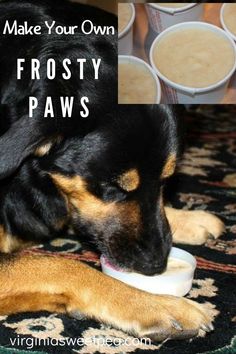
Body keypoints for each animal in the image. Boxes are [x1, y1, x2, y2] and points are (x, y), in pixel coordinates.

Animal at [0, 0, 225, 342]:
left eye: (166, 181)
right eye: (112, 189)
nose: (156, 264)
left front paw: (188, 217)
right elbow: (61, 265)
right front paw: (155, 304)